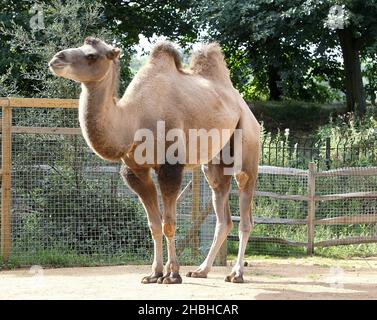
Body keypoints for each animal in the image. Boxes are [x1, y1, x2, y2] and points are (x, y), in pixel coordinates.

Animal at [49, 36, 258, 284]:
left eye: (92, 55)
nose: (57, 58)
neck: (133, 120)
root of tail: (242, 103)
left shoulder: (170, 167)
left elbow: (169, 224)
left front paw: (172, 274)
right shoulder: (135, 171)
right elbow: (154, 225)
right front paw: (154, 273)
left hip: (247, 141)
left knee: (245, 209)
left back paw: (236, 273)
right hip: (214, 162)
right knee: (222, 210)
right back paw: (201, 270)